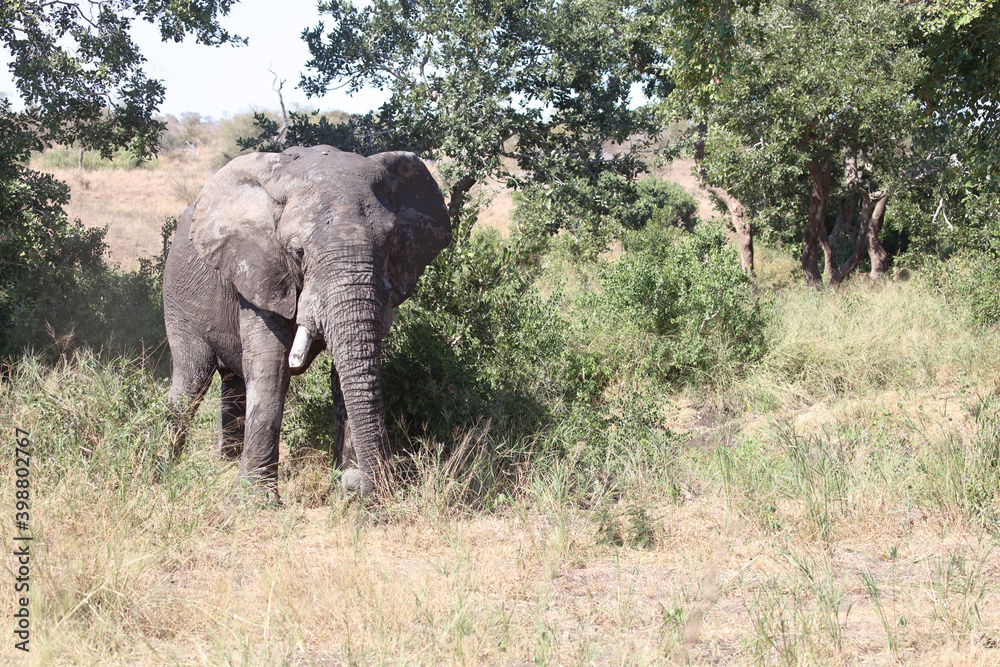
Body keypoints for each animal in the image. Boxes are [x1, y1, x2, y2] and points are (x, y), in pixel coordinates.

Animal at [163, 146, 450, 498]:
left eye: (390, 243)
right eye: (297, 251)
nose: (364, 486)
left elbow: (345, 373)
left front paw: (347, 482)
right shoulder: (259, 269)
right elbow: (271, 365)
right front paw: (256, 501)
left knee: (233, 381)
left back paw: (225, 463)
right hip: (177, 297)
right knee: (191, 375)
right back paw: (164, 466)